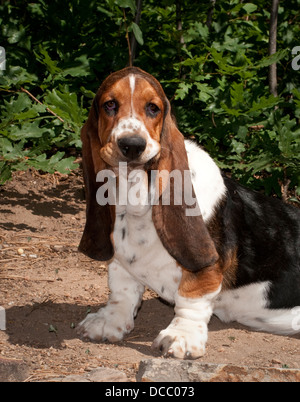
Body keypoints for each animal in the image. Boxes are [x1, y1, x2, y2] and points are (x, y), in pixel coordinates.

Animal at [77, 67, 300, 360]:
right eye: (109, 105)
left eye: (153, 108)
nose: (132, 145)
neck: (136, 195)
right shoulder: (121, 262)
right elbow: (122, 290)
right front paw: (108, 321)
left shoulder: (204, 271)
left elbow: (191, 296)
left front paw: (180, 336)